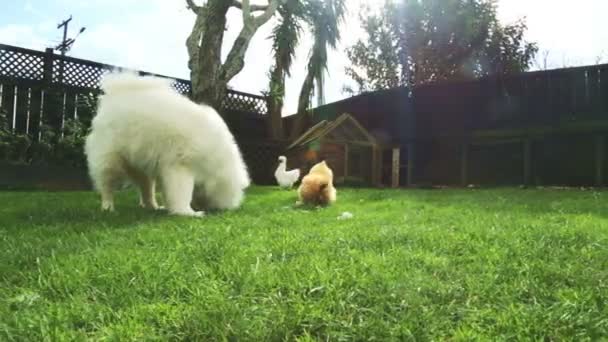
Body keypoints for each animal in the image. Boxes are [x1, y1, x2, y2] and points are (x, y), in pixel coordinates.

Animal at [84, 72, 251, 216]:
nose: (221, 209)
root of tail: (113, 96)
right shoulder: (180, 166)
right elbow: (182, 194)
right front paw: (189, 213)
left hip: (141, 166)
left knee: (146, 190)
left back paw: (153, 206)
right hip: (110, 161)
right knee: (107, 185)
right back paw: (108, 207)